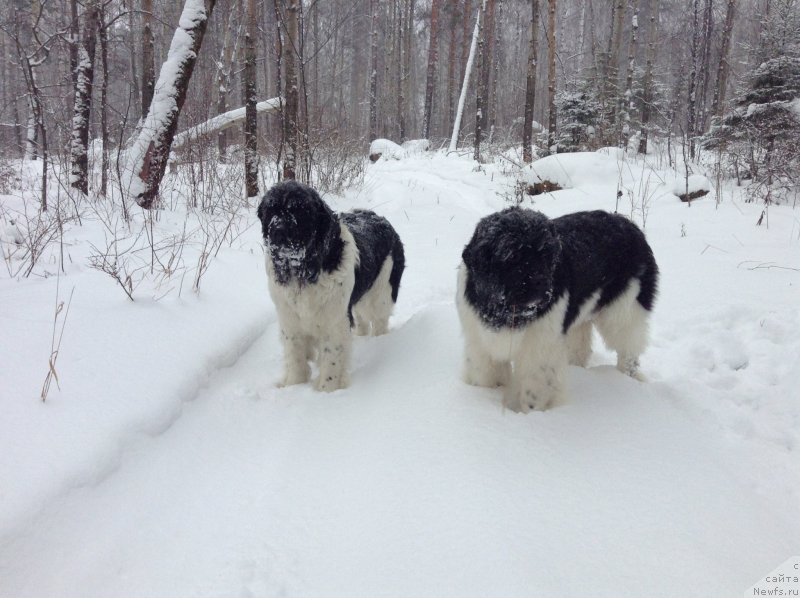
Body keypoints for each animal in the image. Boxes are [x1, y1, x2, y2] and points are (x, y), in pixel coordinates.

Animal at [258, 180, 404, 392]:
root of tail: (380, 218)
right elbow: (295, 356)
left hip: (381, 293)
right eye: (271, 210)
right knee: (361, 320)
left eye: (300, 211)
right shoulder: (289, 319)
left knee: (379, 321)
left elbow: (332, 358)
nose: (278, 231)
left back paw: (379, 340)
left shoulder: (334, 319)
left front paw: (326, 390)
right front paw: (294, 385)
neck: (304, 270)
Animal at [456, 207, 656, 412]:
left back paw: (627, 378)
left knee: (628, 350)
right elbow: (485, 377)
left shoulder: (539, 349)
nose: (541, 282)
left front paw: (534, 414)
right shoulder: (481, 343)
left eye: (546, 256)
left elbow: (534, 390)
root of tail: (628, 224)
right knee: (581, 347)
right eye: (513, 256)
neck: (506, 310)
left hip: (624, 311)